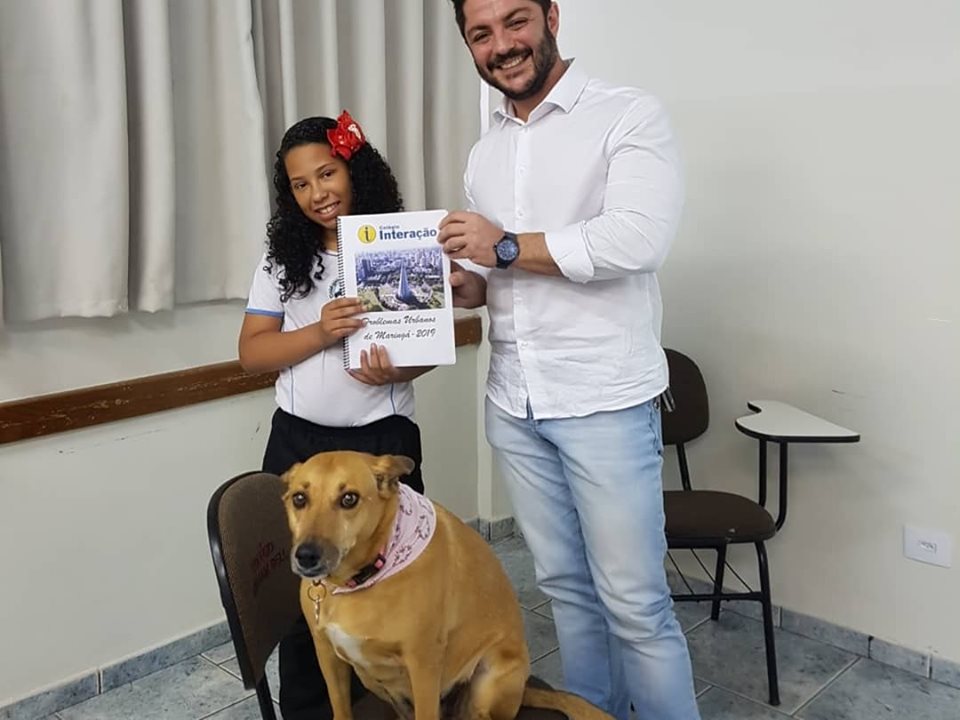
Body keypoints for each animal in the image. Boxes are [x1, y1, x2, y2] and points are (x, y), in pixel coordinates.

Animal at [282, 450, 613, 720]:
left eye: (349, 498)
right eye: (299, 499)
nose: (306, 556)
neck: (361, 577)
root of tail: (524, 690)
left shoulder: (423, 664)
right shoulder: (327, 655)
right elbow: (340, 708)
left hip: (489, 680)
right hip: (371, 680)